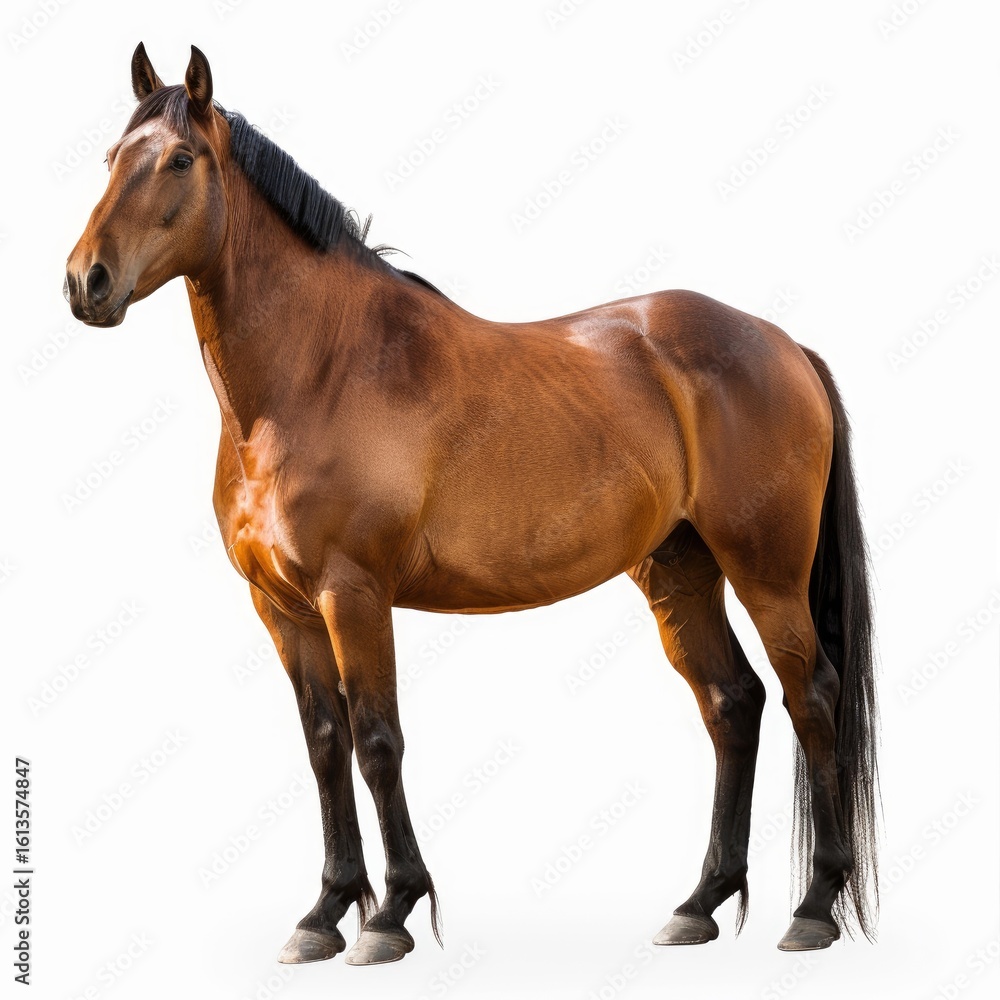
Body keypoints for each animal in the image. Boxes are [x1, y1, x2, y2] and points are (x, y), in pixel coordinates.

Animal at [65, 43, 879, 966]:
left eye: (179, 159)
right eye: (109, 158)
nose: (86, 281)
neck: (316, 371)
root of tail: (784, 344)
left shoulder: (354, 594)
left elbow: (378, 742)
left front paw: (390, 914)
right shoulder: (282, 609)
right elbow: (324, 748)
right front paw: (324, 913)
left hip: (767, 573)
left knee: (810, 697)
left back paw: (814, 907)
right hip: (680, 573)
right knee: (732, 703)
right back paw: (699, 903)